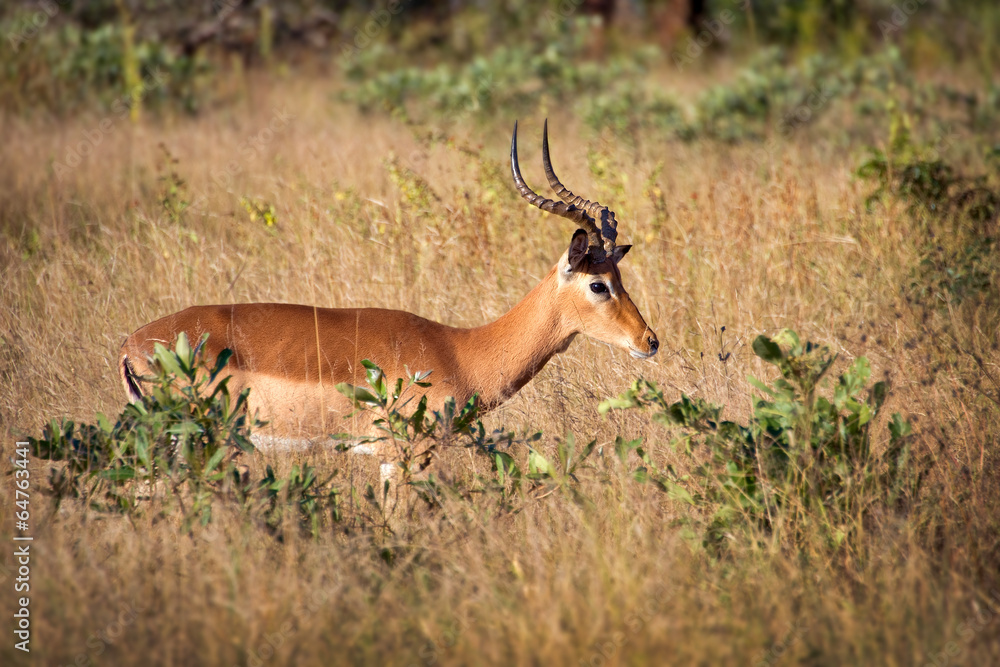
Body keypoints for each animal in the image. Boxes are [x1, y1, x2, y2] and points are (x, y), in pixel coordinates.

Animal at [119, 121, 659, 460]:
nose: (649, 341)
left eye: (621, 278)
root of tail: (130, 345)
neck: (461, 351)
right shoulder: (401, 453)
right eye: (598, 284)